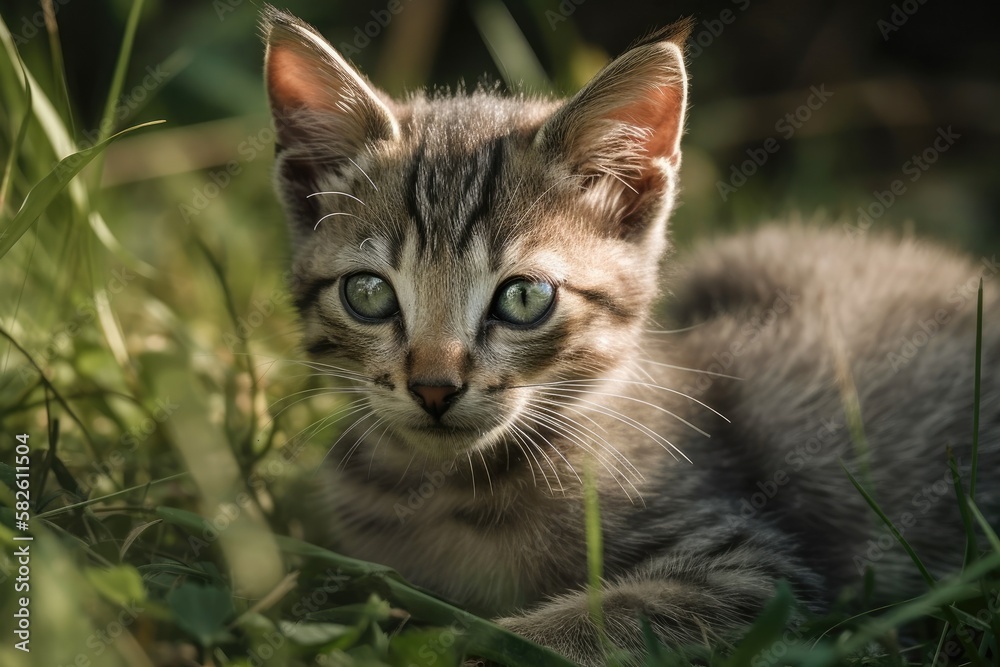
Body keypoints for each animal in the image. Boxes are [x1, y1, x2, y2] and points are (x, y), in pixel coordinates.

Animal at [260, 6, 1000, 667]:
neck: (450, 489)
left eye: (524, 297)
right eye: (369, 293)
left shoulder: (760, 573)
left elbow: (570, 626)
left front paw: (465, 642)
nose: (434, 387)